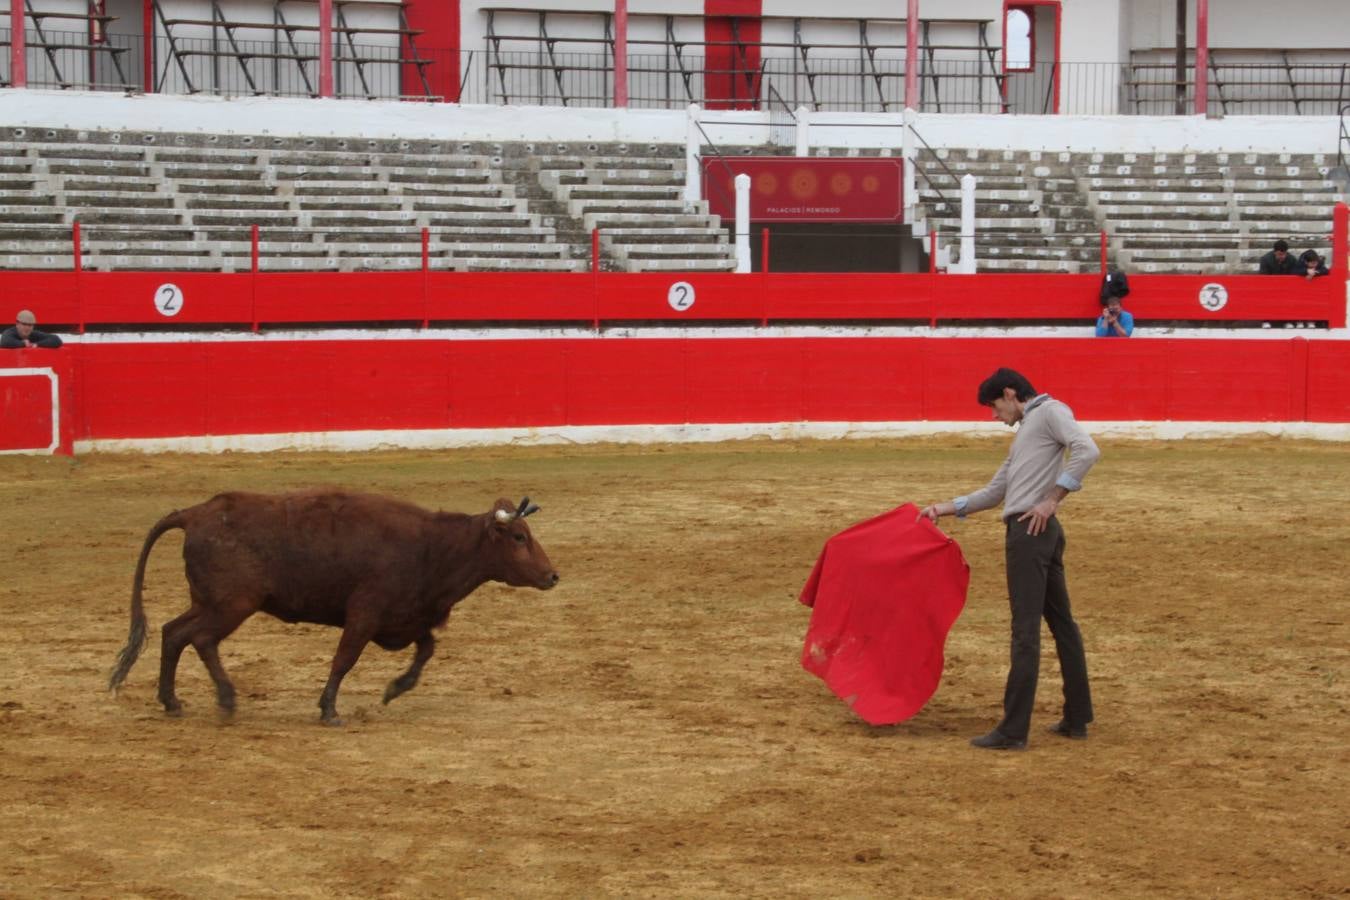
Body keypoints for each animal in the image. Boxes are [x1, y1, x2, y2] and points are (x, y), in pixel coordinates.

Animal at [105, 488, 558, 728]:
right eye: (518, 537)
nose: (552, 576)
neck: (432, 548)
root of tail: (195, 513)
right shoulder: (364, 615)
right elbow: (344, 659)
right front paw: (329, 709)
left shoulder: (406, 619)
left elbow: (426, 650)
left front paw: (394, 689)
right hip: (232, 605)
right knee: (198, 638)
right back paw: (226, 698)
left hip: (209, 602)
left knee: (173, 633)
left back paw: (172, 701)